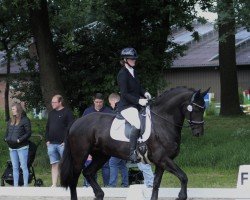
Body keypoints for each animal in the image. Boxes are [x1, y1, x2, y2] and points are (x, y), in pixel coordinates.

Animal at [60, 86, 209, 199]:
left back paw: (99, 194)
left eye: (204, 109)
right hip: (80, 155)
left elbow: (156, 184)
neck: (162, 122)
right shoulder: (163, 159)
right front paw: (181, 196)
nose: (198, 133)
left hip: (101, 155)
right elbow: (183, 177)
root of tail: (77, 121)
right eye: (196, 109)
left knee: (88, 173)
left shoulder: (161, 162)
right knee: (74, 179)